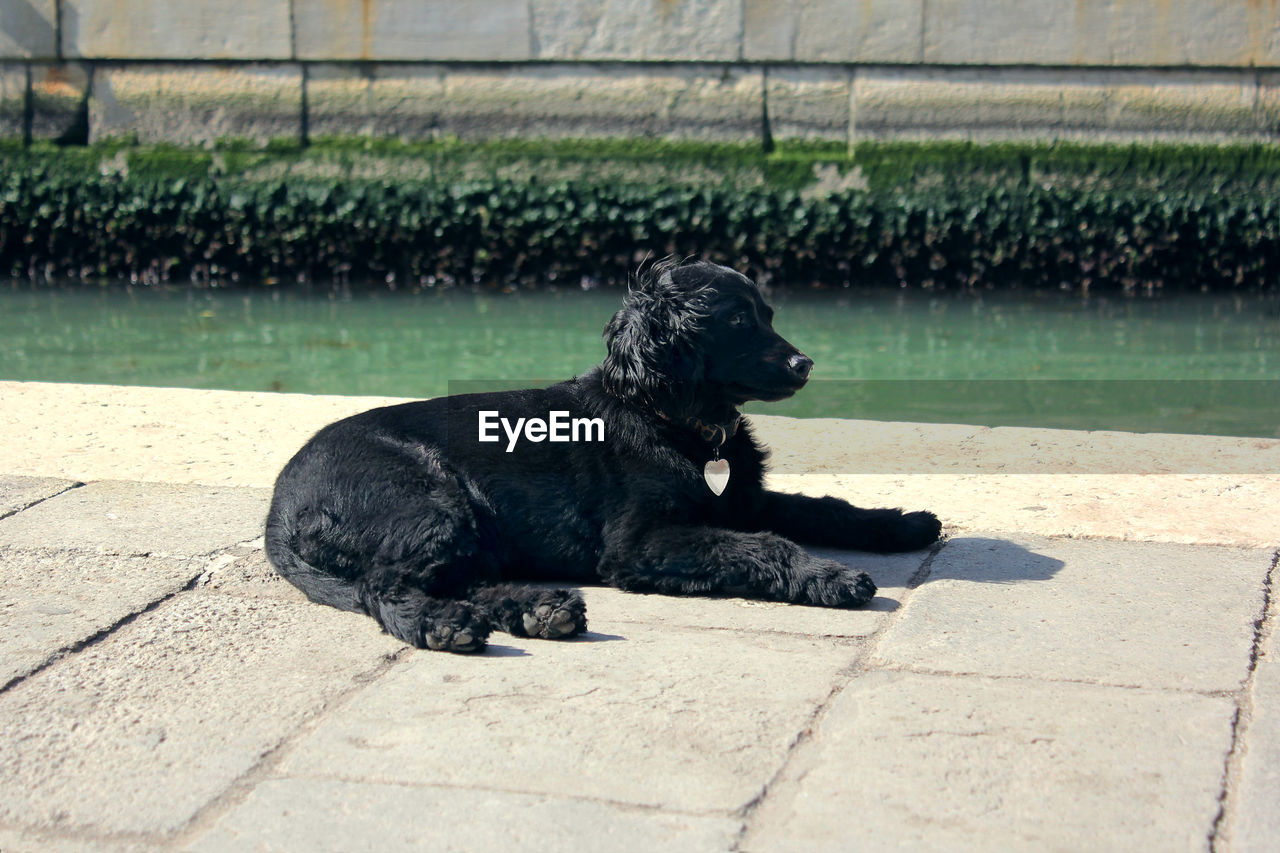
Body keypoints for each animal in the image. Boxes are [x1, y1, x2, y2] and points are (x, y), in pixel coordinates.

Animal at [264, 258, 942, 650]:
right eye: (738, 321)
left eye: (767, 314)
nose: (805, 364)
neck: (674, 419)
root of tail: (279, 506)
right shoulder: (639, 544)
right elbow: (764, 545)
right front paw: (830, 577)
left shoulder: (743, 500)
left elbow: (821, 507)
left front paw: (901, 522)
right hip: (427, 500)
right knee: (386, 585)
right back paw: (446, 626)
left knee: (457, 577)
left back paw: (539, 611)